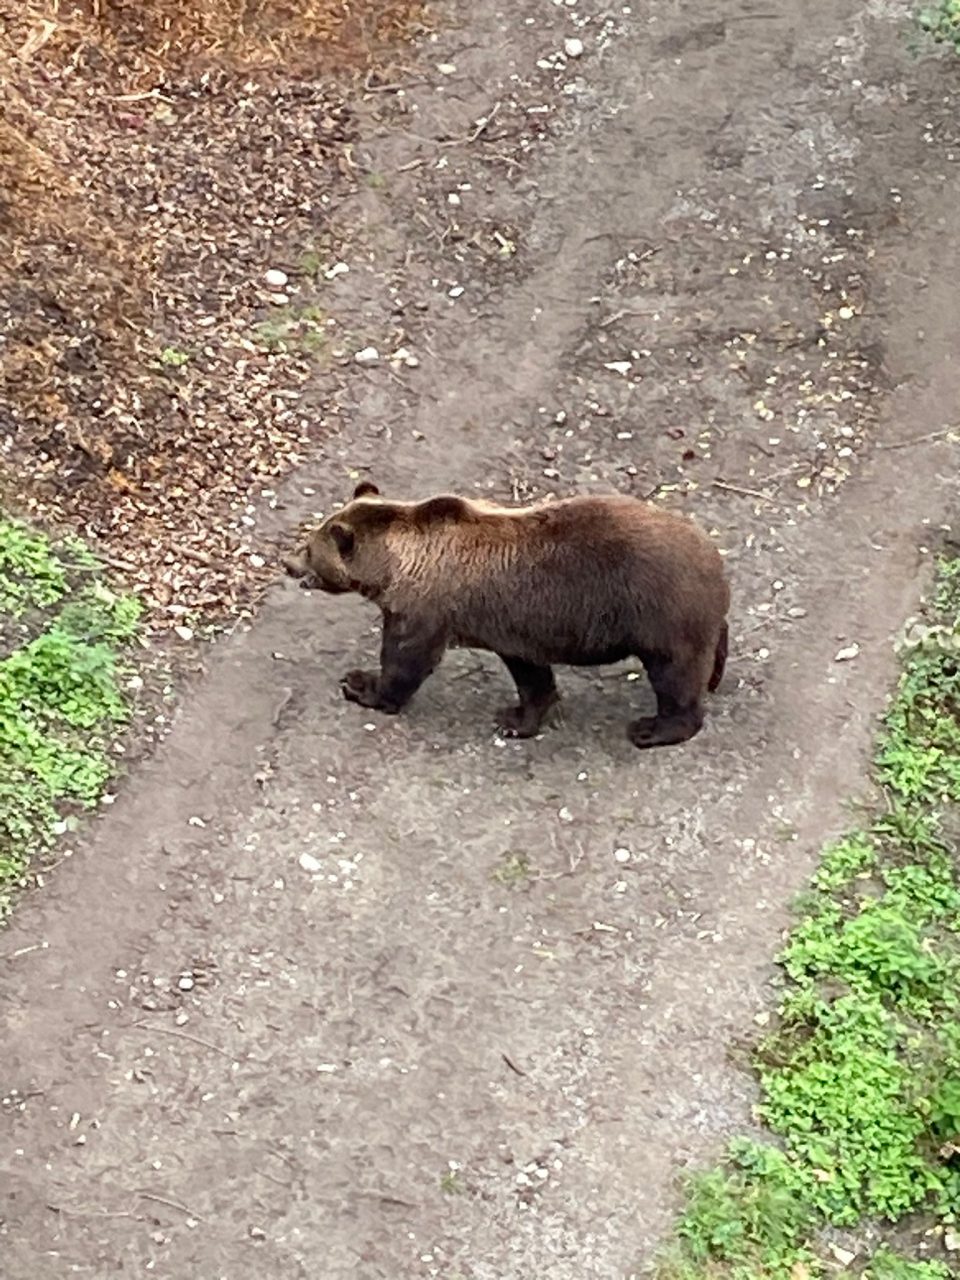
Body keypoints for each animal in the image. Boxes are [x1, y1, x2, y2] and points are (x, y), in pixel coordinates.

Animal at [283, 481, 730, 749]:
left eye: (308, 547)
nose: (288, 563)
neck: (397, 562)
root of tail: (715, 557)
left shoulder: (425, 607)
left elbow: (405, 659)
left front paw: (361, 684)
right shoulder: (513, 627)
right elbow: (531, 675)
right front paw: (517, 716)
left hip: (660, 612)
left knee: (674, 676)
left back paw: (653, 727)